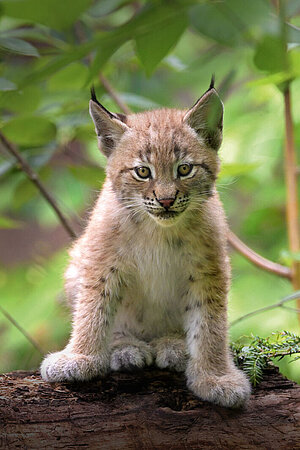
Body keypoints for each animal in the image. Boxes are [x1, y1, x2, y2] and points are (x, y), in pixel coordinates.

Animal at [40, 77, 251, 408]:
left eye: (184, 169)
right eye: (142, 171)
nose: (165, 200)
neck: (158, 229)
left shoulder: (210, 269)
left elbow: (211, 324)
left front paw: (216, 377)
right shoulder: (100, 259)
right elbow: (92, 310)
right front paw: (80, 358)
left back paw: (173, 345)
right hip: (76, 262)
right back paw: (125, 347)